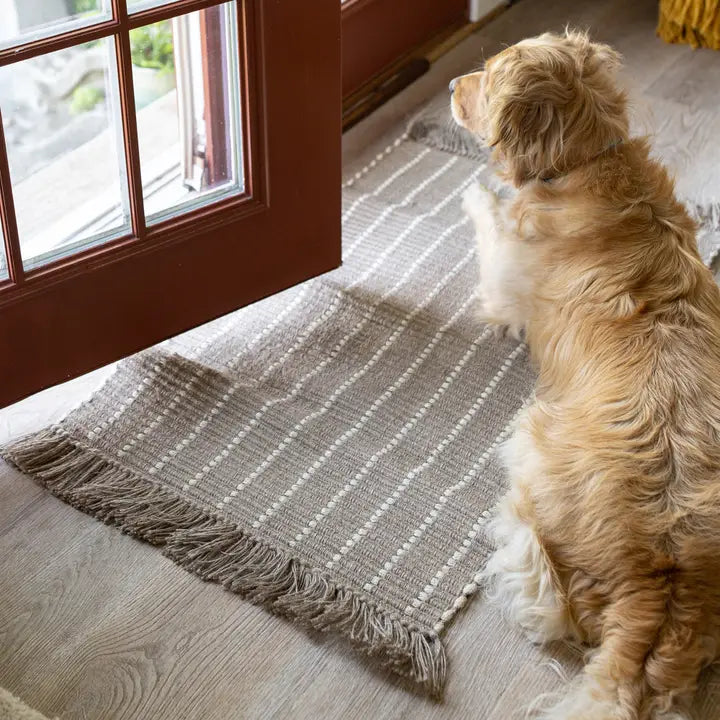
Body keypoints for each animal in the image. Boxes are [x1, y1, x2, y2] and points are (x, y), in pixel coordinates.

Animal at [450, 29, 720, 720]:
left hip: (530, 437)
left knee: (547, 597)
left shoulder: (502, 289)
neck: (587, 163)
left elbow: (490, 224)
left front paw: (477, 193)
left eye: (487, 75)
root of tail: (660, 575)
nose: (451, 84)